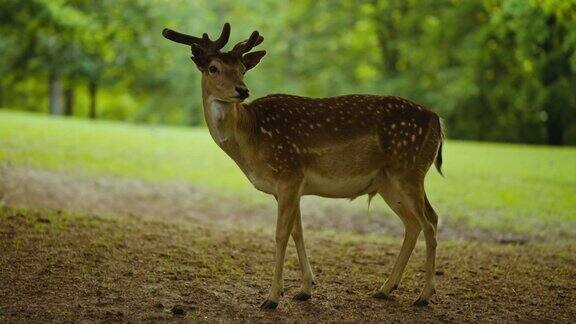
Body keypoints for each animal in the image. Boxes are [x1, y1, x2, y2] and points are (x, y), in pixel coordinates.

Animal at [162, 22, 446, 308]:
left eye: (242, 69)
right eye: (213, 68)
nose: (242, 90)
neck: (251, 139)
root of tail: (437, 120)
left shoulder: (288, 174)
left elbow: (280, 234)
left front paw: (272, 298)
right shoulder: (289, 187)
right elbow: (297, 232)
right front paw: (305, 289)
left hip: (409, 171)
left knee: (430, 221)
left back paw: (424, 295)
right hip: (389, 182)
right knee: (413, 224)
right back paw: (385, 289)